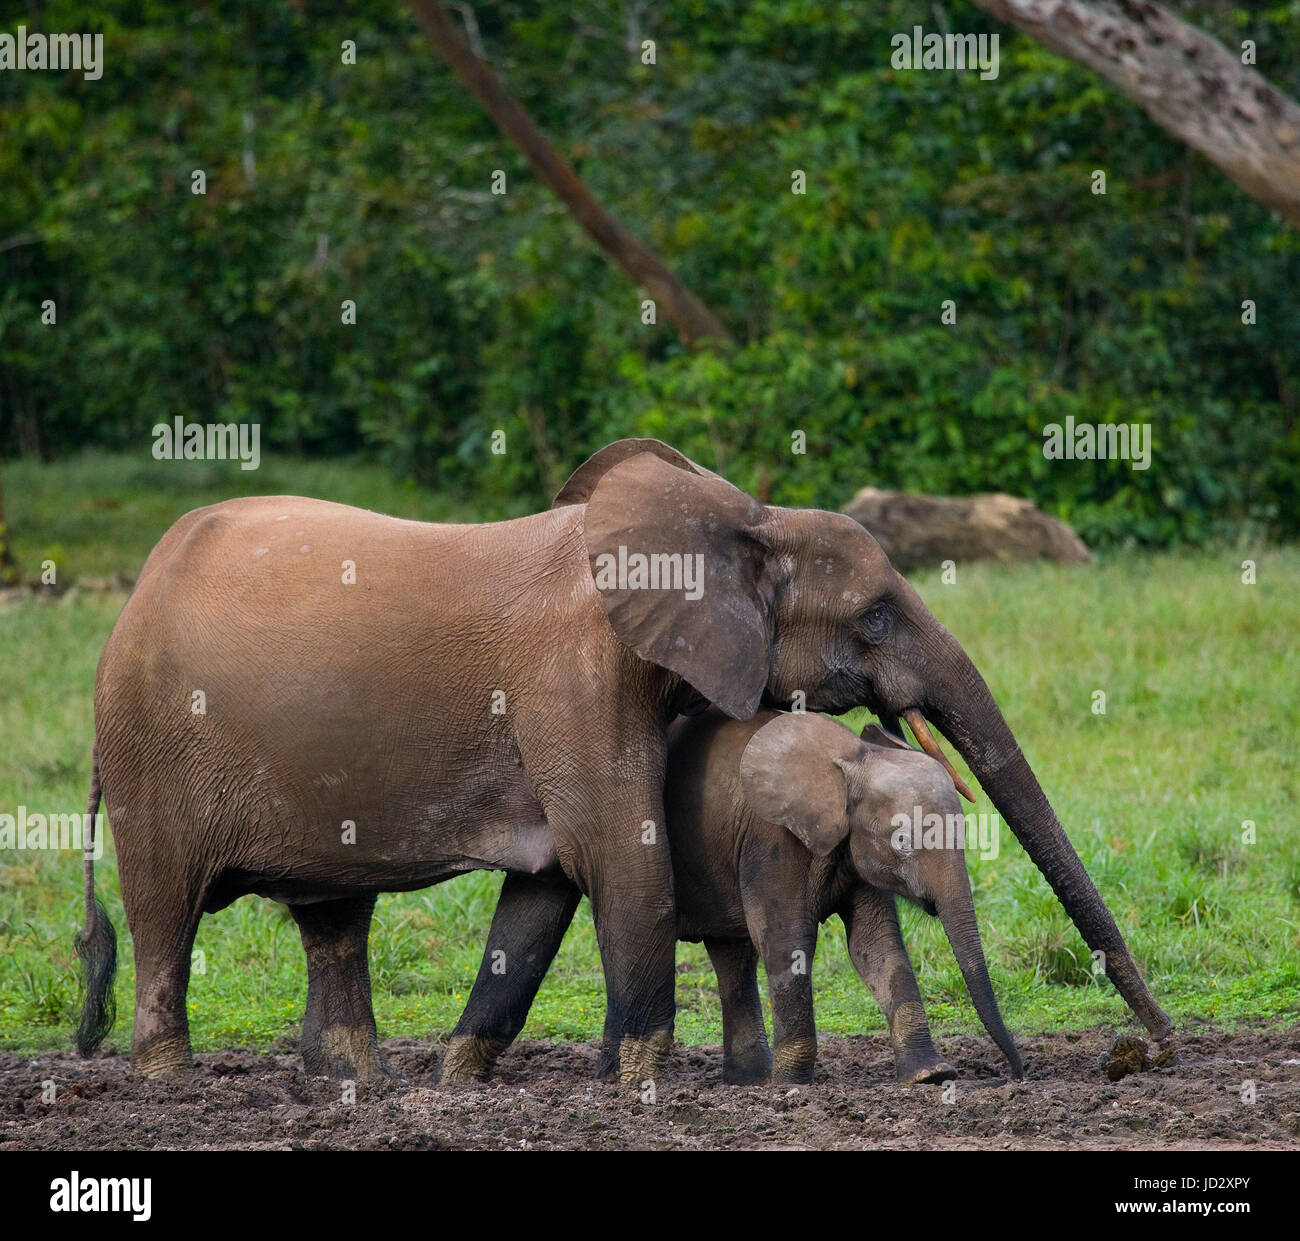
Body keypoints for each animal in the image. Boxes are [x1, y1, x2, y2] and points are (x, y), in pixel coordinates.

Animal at [449, 707, 1023, 1085]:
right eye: (902, 841)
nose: (1015, 1076)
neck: (850, 757)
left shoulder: (850, 849)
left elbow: (876, 950)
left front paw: (931, 1077)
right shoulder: (773, 837)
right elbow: (786, 942)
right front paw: (794, 1086)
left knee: (731, 955)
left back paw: (744, 1082)